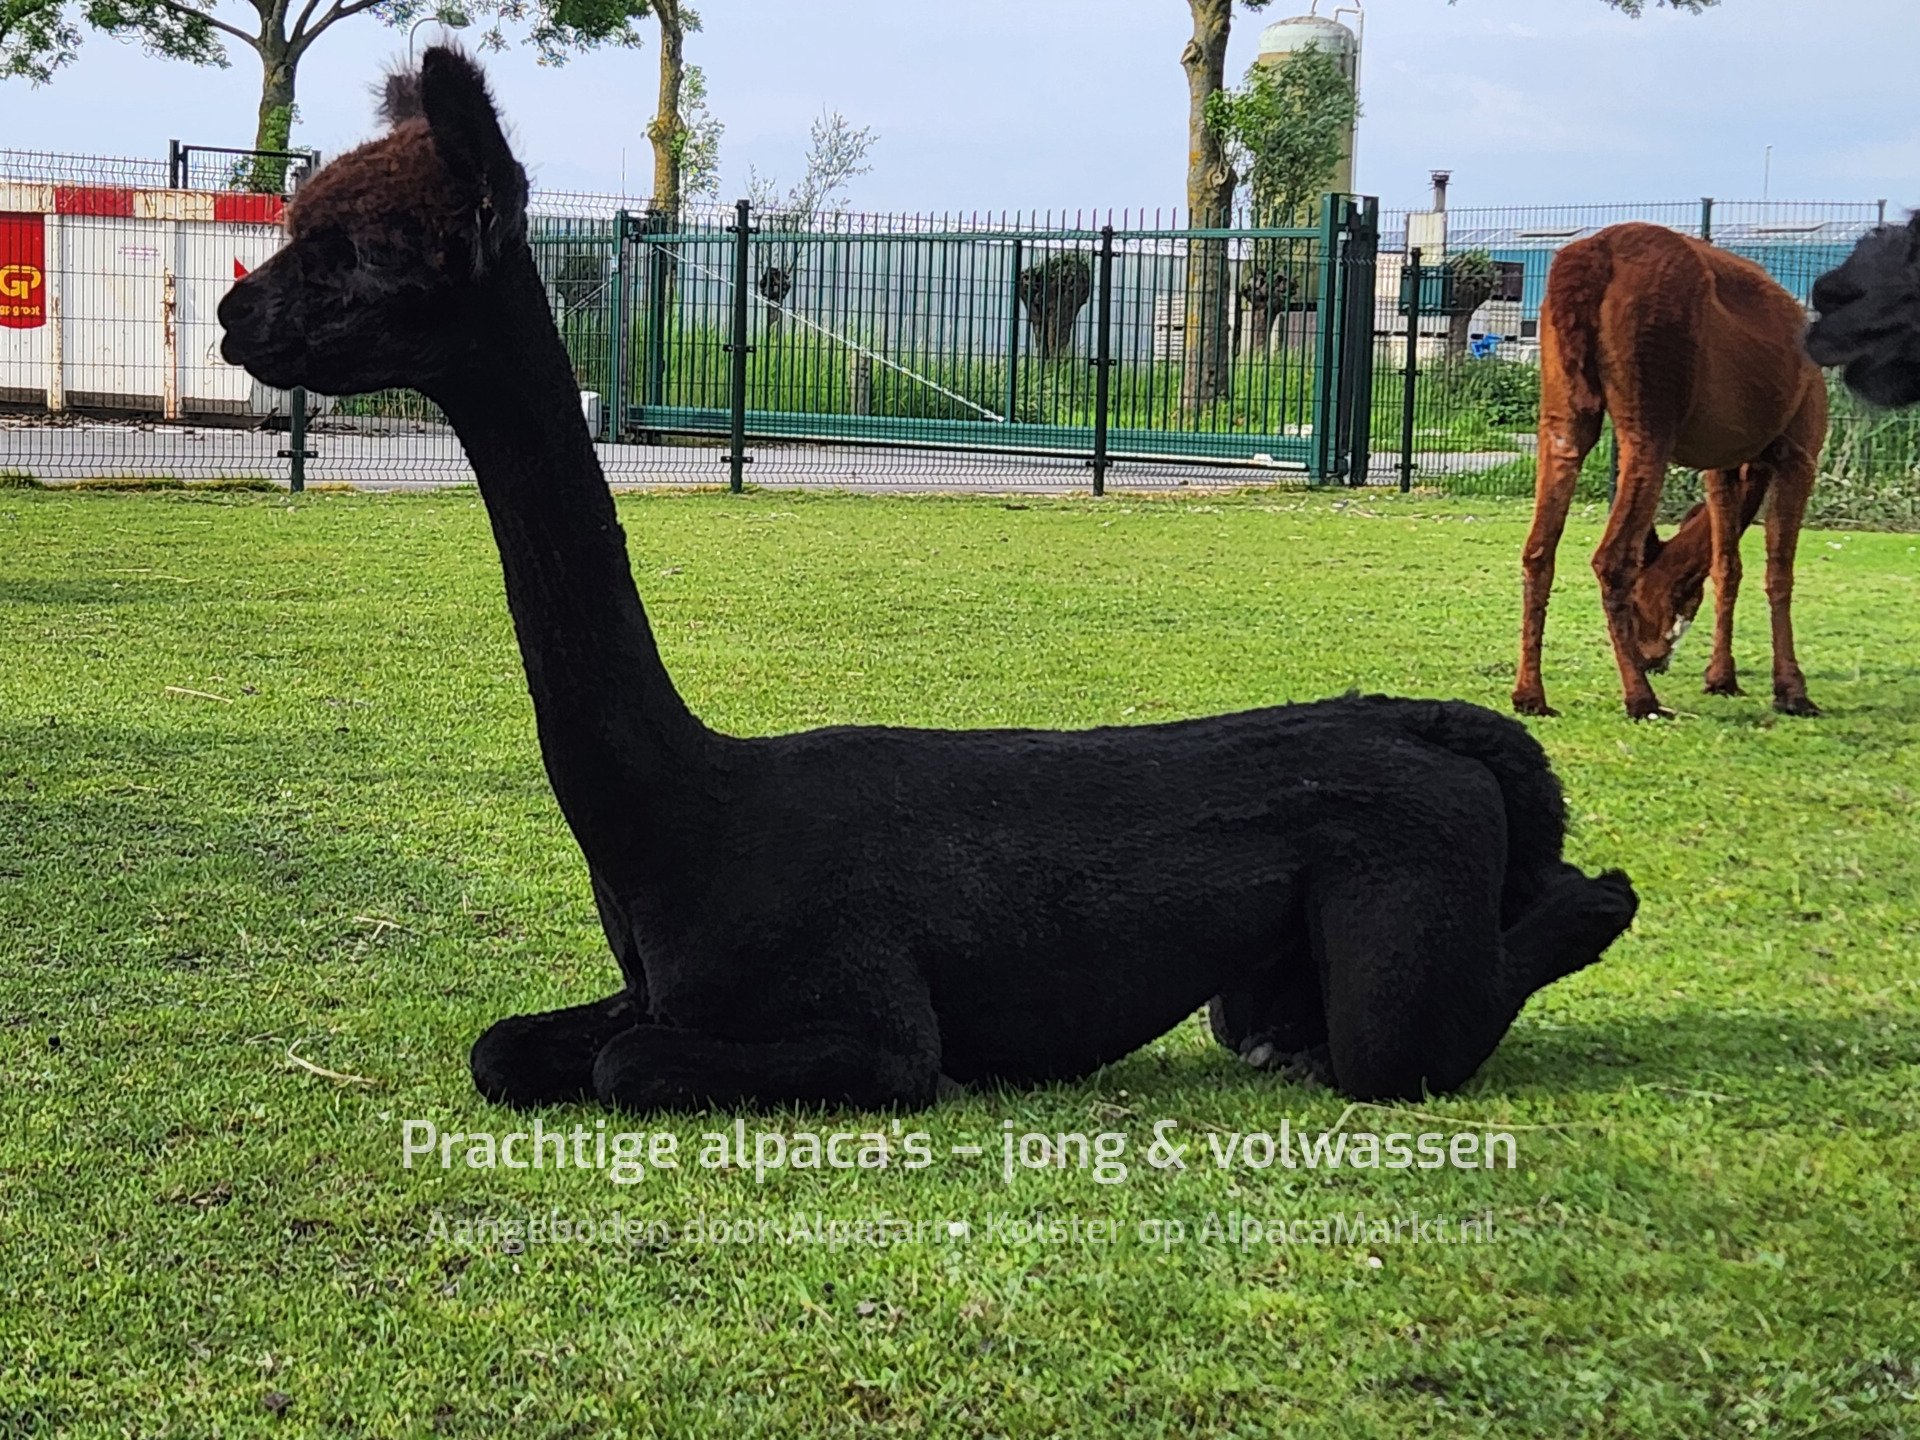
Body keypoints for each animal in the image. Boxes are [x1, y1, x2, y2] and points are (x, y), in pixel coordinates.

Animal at [217, 48, 1638, 1110]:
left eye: (364, 250)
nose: (233, 316)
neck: (682, 821)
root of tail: (1428, 733)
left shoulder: (869, 1023)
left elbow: (647, 1064)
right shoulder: (646, 985)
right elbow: (501, 1046)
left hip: (1398, 929)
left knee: (1450, 1010)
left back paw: (1596, 896)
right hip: (1257, 987)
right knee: (1279, 1027)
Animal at [1513, 222, 1827, 721]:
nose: (1652, 656)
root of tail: (1590, 259)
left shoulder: (1724, 465)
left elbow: (1726, 565)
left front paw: (1721, 677)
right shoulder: (1800, 451)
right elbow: (1779, 573)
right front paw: (1792, 690)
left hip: (1564, 409)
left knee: (1539, 548)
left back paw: (1530, 695)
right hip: (1651, 415)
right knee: (1612, 557)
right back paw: (1641, 698)